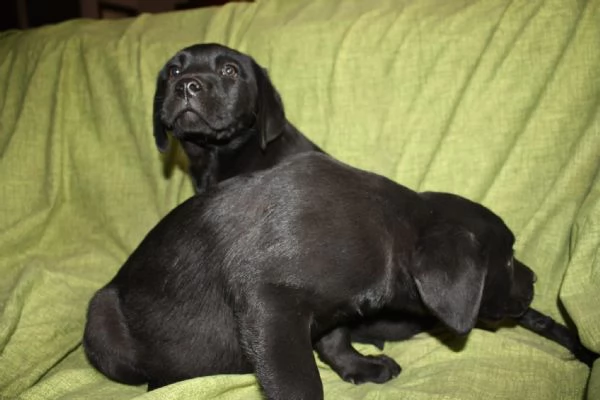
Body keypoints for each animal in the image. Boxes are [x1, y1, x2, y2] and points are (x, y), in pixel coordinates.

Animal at [83, 152, 596, 396]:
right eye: (506, 260)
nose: (535, 282)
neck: (391, 227)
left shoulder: (331, 308)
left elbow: (335, 340)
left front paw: (360, 366)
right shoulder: (272, 306)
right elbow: (300, 381)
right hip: (102, 321)